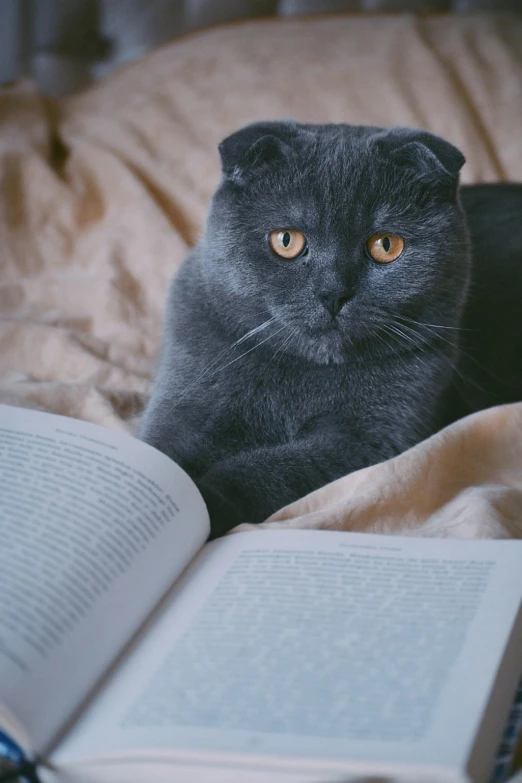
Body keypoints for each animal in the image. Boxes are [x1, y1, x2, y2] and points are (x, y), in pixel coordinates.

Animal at [139, 121, 520, 540]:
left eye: (386, 245)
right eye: (286, 240)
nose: (333, 292)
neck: (300, 377)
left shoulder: (372, 440)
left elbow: (272, 468)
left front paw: (208, 499)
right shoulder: (186, 399)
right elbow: (162, 455)